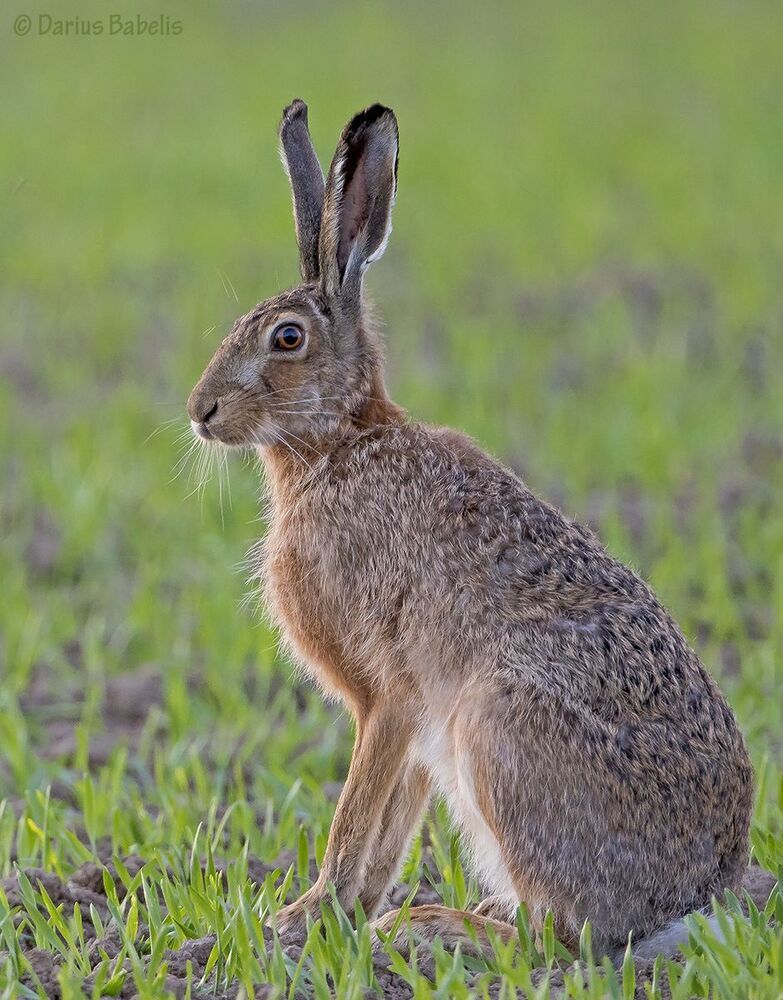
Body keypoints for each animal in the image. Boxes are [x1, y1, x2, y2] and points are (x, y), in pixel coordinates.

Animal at [186, 99, 771, 963]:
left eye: (286, 338)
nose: (201, 411)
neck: (337, 442)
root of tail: (692, 898)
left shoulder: (388, 697)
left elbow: (354, 816)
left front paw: (304, 918)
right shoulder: (411, 729)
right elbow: (389, 828)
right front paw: (340, 915)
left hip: (498, 730)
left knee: (556, 936)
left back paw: (429, 925)